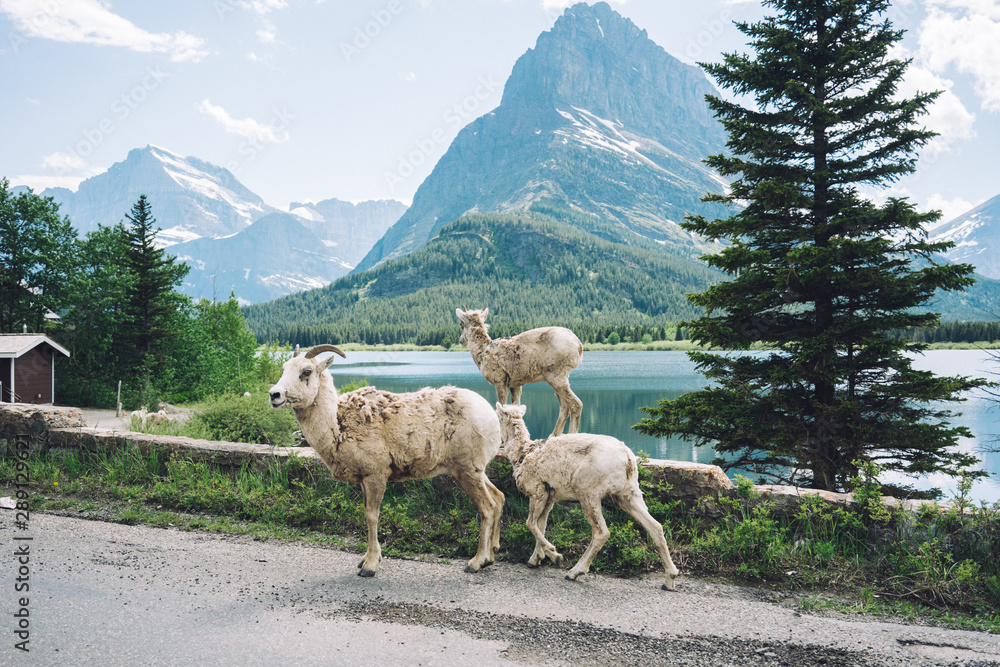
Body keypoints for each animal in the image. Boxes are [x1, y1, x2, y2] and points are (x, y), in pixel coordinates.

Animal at [269, 344, 505, 577]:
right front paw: (364, 560)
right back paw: (491, 557)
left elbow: (372, 515)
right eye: (283, 369)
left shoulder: (376, 474)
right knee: (499, 498)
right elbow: (366, 513)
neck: (337, 426)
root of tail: (492, 416)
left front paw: (370, 566)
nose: (274, 394)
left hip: (466, 470)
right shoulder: (364, 479)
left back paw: (476, 562)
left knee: (487, 507)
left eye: (306, 372)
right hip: (477, 470)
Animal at [456, 308, 583, 437]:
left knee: (576, 404)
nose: (461, 340)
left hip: (556, 375)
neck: (482, 352)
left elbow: (501, 407)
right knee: (565, 406)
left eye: (461, 324)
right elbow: (515, 408)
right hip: (558, 378)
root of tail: (579, 345)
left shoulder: (499, 380)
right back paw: (554, 434)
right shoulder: (515, 384)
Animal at [495, 403, 679, 590]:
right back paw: (669, 580)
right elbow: (541, 525)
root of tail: (627, 459)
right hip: (628, 494)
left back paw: (573, 572)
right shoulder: (549, 498)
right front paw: (535, 560)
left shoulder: (538, 492)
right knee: (655, 527)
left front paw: (555, 555)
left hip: (589, 494)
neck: (522, 453)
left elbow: (530, 524)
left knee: (601, 532)